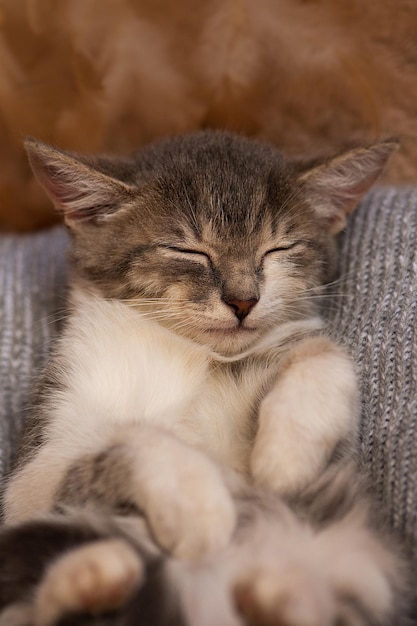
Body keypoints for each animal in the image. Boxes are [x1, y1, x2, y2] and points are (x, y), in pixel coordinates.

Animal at [0, 132, 410, 624]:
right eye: (187, 250)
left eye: (278, 249)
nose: (243, 300)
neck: (190, 353)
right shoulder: (29, 480)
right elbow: (119, 434)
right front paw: (199, 506)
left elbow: (322, 350)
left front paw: (286, 456)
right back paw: (96, 576)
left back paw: (273, 594)